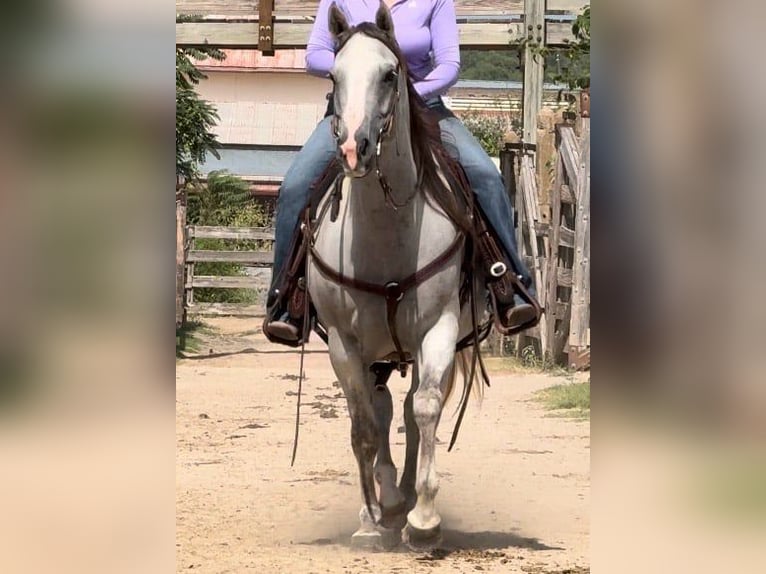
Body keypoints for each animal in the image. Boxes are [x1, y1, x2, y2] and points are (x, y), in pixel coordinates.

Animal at [305, 4, 486, 549]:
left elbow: (425, 407)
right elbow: (364, 423)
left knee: (408, 407)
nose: (353, 149)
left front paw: (424, 519)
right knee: (380, 408)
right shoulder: (343, 341)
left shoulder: (440, 328)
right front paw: (369, 519)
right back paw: (385, 501)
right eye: (334, 77)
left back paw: (404, 499)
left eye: (390, 74)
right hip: (374, 353)